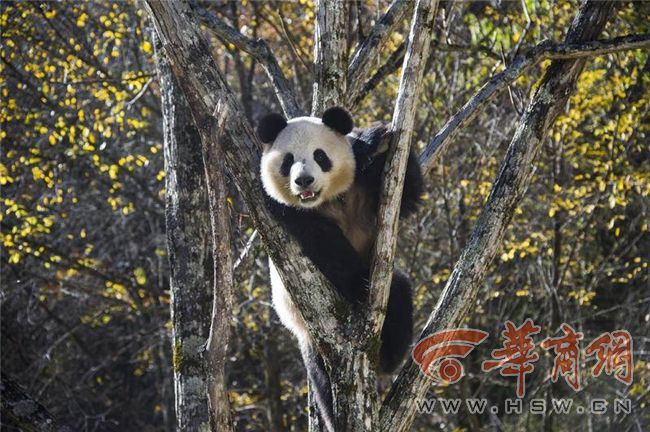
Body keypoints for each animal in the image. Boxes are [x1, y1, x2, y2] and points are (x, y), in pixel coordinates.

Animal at [256, 106, 422, 430]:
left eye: (320, 156)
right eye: (288, 161)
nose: (304, 181)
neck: (326, 199)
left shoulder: (363, 186)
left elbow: (404, 197)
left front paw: (376, 138)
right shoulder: (284, 211)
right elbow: (324, 244)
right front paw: (359, 283)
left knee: (399, 292)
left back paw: (388, 355)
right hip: (305, 326)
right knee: (322, 380)